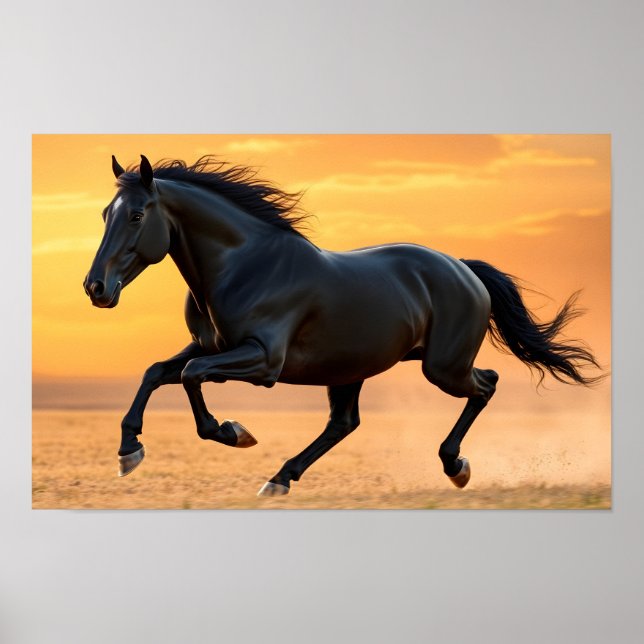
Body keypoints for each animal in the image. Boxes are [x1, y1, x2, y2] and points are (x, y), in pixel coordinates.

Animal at [83, 155, 602, 496]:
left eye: (136, 215)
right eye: (105, 213)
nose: (95, 288)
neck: (243, 266)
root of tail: (464, 269)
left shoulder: (263, 361)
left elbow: (191, 378)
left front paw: (234, 432)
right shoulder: (207, 346)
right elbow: (155, 372)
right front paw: (129, 451)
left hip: (443, 367)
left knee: (487, 383)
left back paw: (456, 466)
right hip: (352, 369)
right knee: (344, 423)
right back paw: (280, 479)